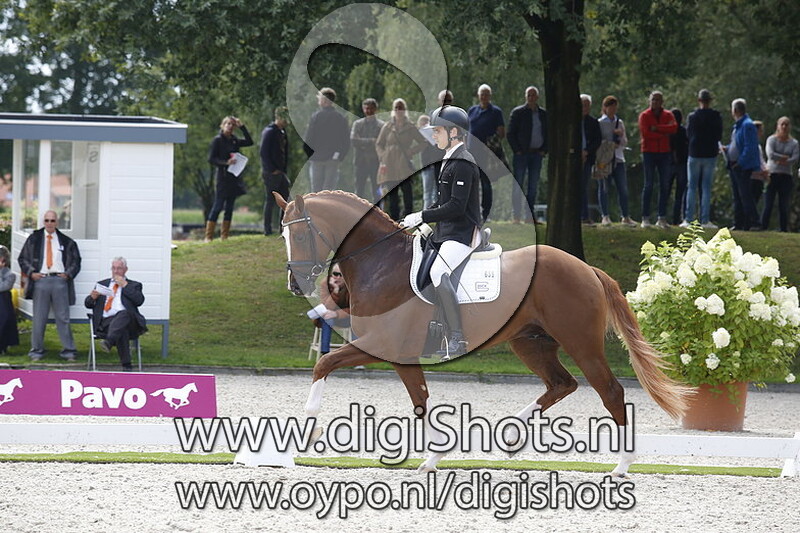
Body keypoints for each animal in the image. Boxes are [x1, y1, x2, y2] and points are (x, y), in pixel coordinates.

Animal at [275, 190, 692, 476]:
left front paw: (308, 431)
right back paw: (507, 437)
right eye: (284, 237)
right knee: (561, 384)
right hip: (530, 343)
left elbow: (324, 364)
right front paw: (434, 457)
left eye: (301, 235)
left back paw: (621, 466)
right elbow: (421, 402)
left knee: (610, 391)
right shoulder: (401, 355)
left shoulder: (381, 344)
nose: (296, 284)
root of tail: (586, 268)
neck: (381, 263)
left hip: (581, 343)